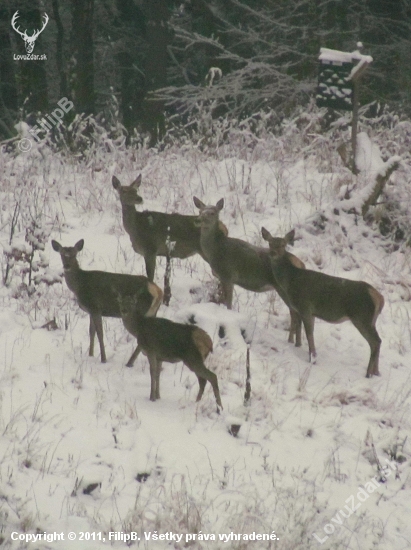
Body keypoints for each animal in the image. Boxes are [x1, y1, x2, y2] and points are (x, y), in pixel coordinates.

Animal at [194, 197, 306, 344]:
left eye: (212, 212)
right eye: (200, 211)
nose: (198, 220)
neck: (216, 250)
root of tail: (302, 265)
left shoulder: (228, 275)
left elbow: (228, 303)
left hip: (283, 288)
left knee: (295, 314)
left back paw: (292, 342)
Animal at [260, 226, 386, 378]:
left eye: (283, 244)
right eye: (270, 243)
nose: (273, 253)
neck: (291, 280)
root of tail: (379, 297)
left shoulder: (305, 307)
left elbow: (309, 334)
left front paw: (312, 358)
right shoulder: (304, 310)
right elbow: (302, 329)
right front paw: (300, 348)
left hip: (362, 317)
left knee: (375, 341)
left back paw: (368, 373)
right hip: (371, 320)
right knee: (378, 341)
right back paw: (377, 372)